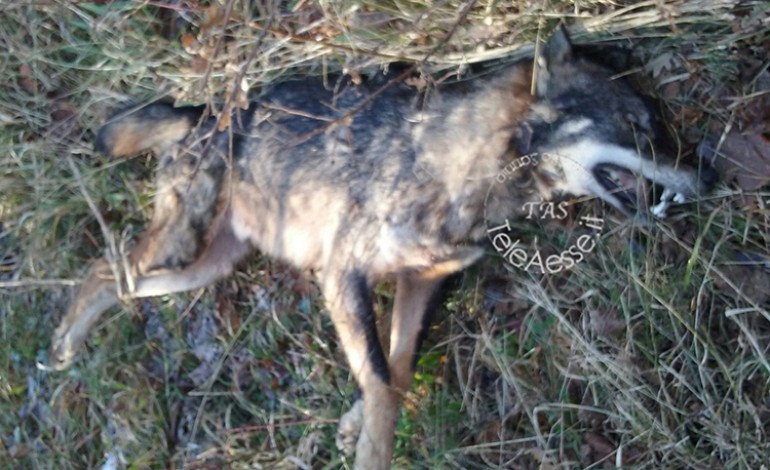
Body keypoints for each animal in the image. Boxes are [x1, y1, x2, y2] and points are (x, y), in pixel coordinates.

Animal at [45, 27, 712, 468]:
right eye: (639, 127)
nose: (708, 177)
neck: (455, 171)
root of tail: (202, 112)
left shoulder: (422, 284)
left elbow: (393, 368)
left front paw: (353, 423)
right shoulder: (343, 274)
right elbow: (385, 384)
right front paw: (371, 444)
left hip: (204, 267)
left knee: (115, 278)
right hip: (184, 248)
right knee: (101, 269)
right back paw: (65, 345)